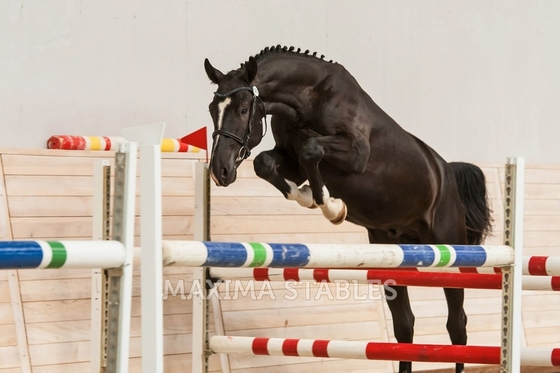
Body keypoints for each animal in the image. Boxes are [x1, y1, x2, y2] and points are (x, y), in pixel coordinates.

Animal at [202, 46, 490, 372]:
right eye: (212, 110)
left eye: (242, 110)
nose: (220, 172)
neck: (308, 100)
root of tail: (447, 172)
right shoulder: (291, 162)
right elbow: (266, 163)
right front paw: (310, 196)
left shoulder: (355, 154)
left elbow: (311, 149)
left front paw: (332, 206)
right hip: (392, 254)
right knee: (405, 325)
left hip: (451, 253)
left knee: (457, 325)